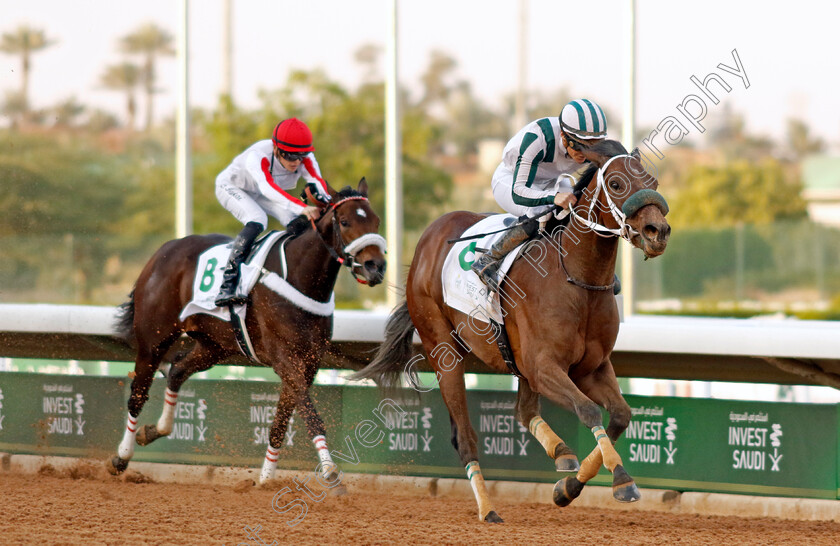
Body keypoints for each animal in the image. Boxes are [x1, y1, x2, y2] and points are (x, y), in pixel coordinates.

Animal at [105, 180, 388, 484]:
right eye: (345, 222)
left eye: (376, 221)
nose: (376, 267)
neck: (300, 276)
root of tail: (163, 250)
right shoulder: (285, 358)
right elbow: (310, 415)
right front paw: (331, 473)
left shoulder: (308, 361)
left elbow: (281, 421)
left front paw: (265, 479)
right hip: (154, 339)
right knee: (138, 394)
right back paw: (121, 457)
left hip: (214, 345)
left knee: (178, 370)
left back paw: (153, 430)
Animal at [352, 140, 668, 520]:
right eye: (617, 184)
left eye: (653, 180)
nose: (657, 232)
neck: (577, 280)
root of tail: (429, 238)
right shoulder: (545, 367)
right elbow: (589, 409)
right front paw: (620, 478)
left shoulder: (591, 367)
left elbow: (620, 415)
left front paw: (571, 487)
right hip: (443, 351)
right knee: (465, 436)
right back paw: (488, 509)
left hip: (517, 362)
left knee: (525, 412)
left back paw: (561, 453)